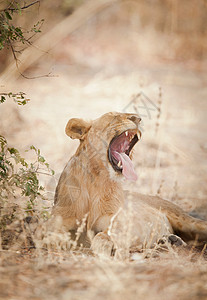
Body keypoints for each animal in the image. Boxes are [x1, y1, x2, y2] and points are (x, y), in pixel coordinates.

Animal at [52, 111, 207, 256]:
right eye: (113, 116)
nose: (137, 118)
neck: (96, 179)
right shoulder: (57, 221)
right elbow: (54, 235)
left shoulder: (120, 220)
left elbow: (105, 234)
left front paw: (105, 247)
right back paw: (170, 240)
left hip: (187, 220)